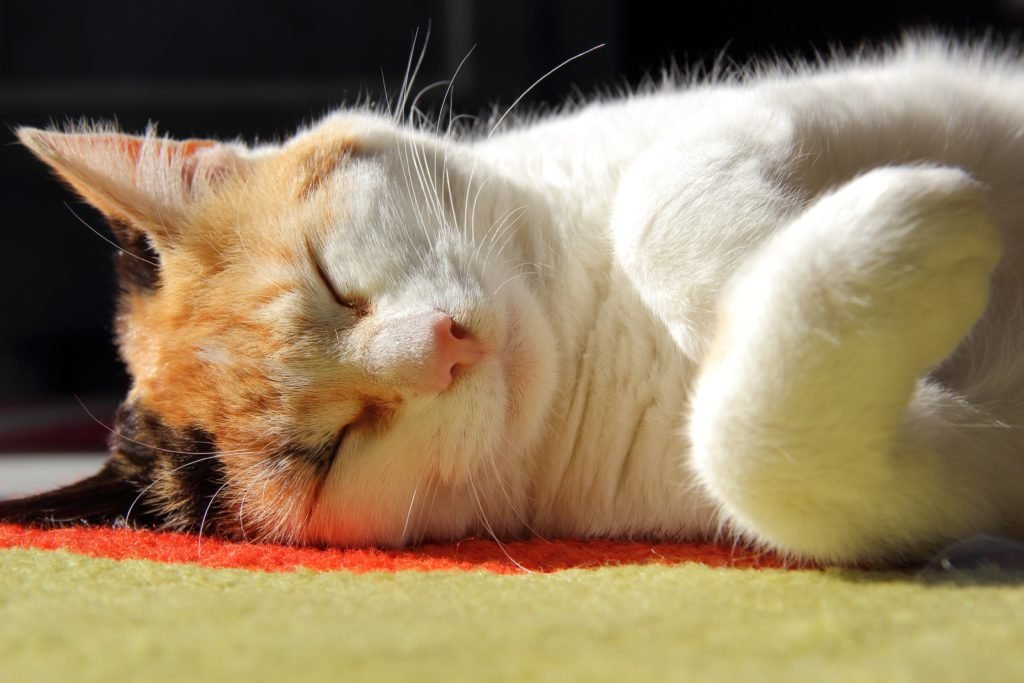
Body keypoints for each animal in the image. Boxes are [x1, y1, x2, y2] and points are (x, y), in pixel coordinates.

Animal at [6, 40, 1024, 569]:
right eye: (327, 453)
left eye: (331, 277)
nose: (446, 345)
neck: (587, 328)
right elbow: (752, 450)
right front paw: (914, 241)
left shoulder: (872, 91)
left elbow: (660, 200)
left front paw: (756, 265)